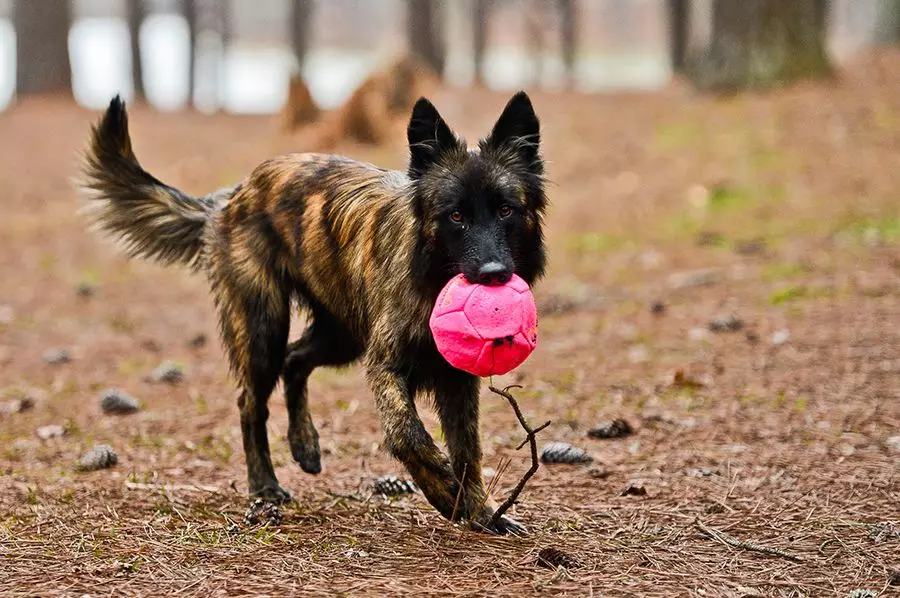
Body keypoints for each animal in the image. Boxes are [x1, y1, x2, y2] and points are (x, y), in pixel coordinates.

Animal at [81, 90, 548, 536]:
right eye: (456, 216)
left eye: (507, 210)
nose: (493, 274)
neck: (431, 276)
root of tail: (232, 195)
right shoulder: (385, 364)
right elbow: (408, 434)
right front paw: (442, 488)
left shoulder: (456, 380)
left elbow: (468, 451)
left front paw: (481, 511)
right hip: (264, 330)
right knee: (252, 402)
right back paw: (265, 485)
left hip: (341, 337)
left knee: (295, 360)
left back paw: (304, 443)